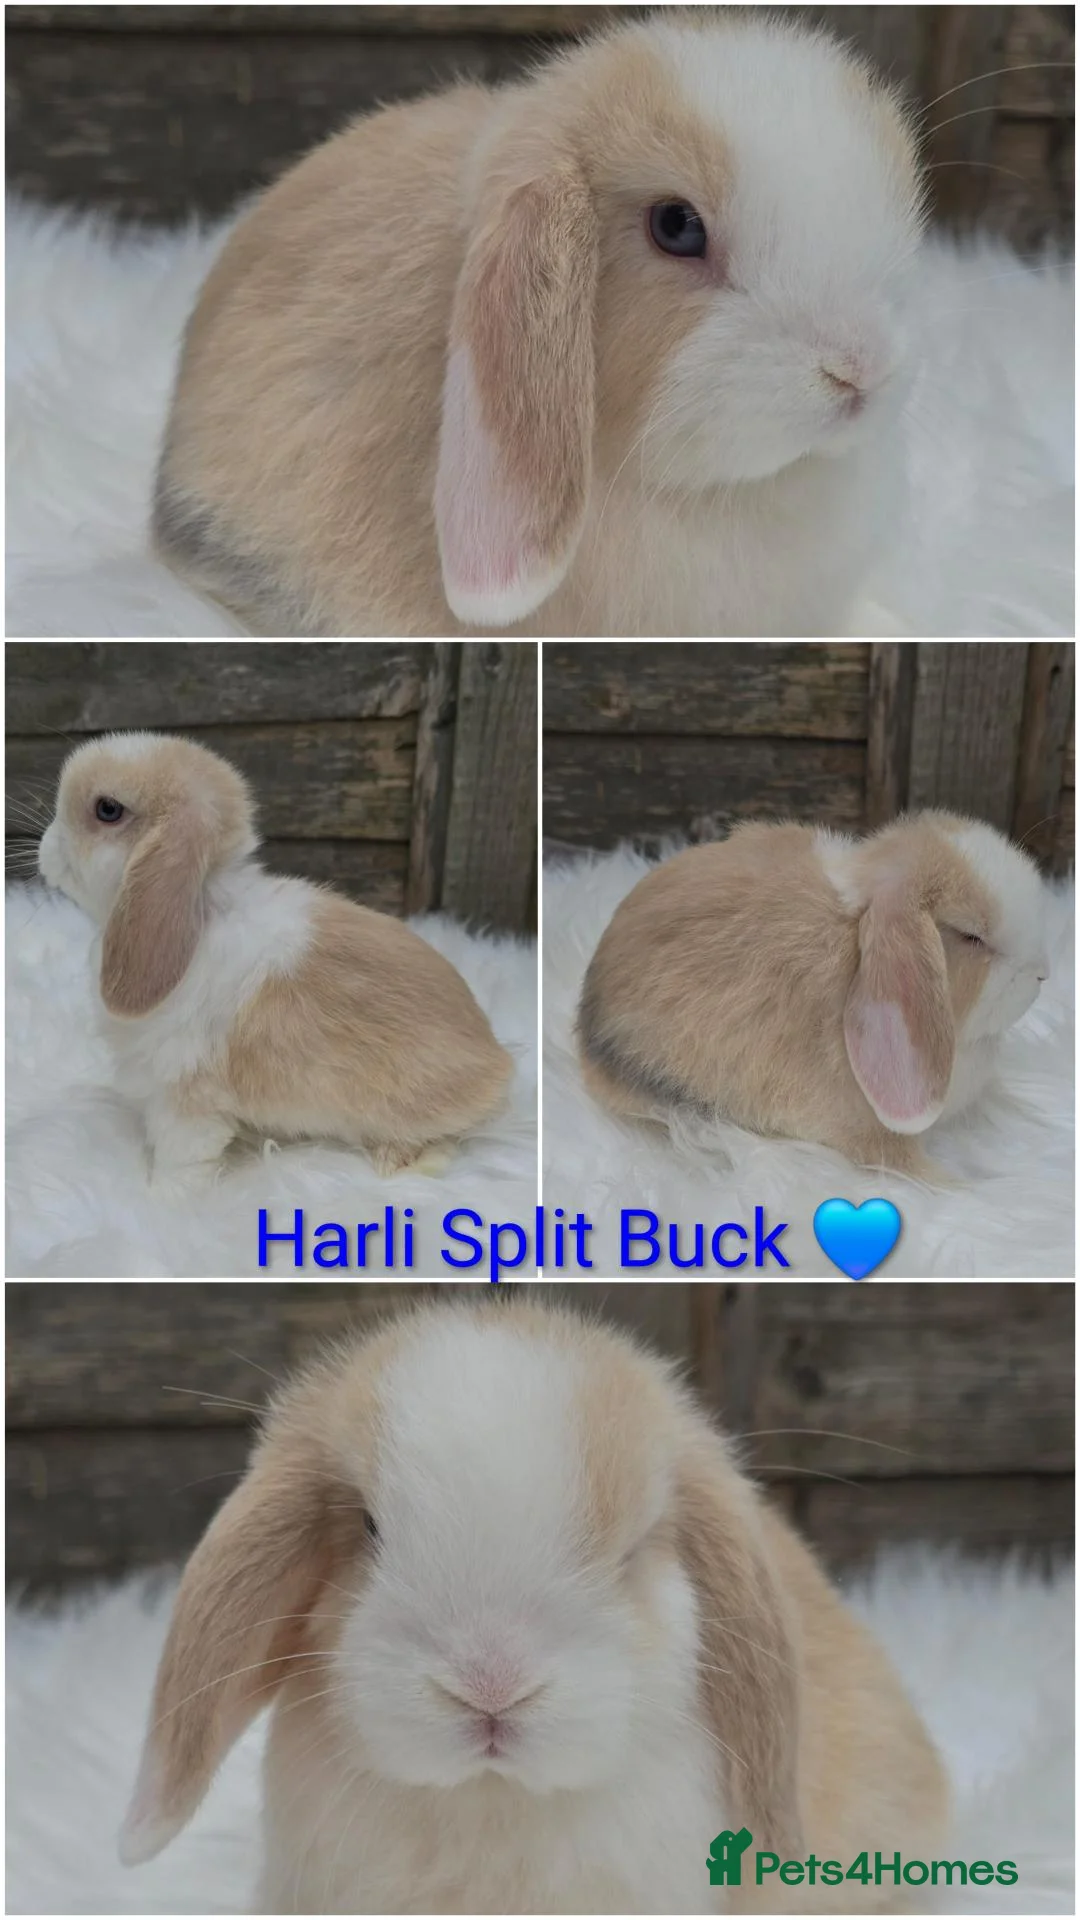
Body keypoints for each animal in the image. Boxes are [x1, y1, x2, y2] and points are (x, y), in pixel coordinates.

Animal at [37, 732, 512, 1188]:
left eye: (108, 809)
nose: (45, 846)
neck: (200, 916)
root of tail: (499, 1063)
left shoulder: (187, 1101)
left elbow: (182, 1162)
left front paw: (162, 1202)